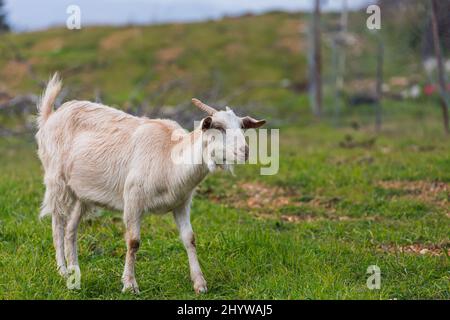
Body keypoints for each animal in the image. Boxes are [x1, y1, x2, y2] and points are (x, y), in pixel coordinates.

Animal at [37, 74, 268, 294]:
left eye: (242, 127)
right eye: (218, 127)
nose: (245, 152)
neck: (169, 155)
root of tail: (51, 116)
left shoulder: (181, 203)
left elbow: (190, 238)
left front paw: (200, 284)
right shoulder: (133, 199)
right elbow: (133, 241)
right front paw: (130, 285)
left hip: (81, 194)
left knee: (71, 229)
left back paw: (74, 271)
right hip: (57, 181)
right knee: (57, 223)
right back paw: (63, 270)